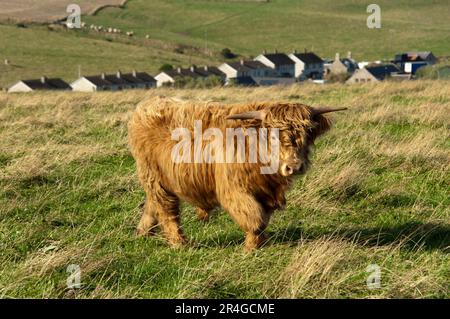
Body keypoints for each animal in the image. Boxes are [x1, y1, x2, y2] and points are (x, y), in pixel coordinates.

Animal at [128, 96, 346, 251]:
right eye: (272, 135)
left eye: (307, 132)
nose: (294, 166)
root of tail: (147, 105)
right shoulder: (234, 190)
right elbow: (254, 218)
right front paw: (251, 247)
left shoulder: (265, 192)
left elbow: (262, 218)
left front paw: (257, 243)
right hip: (154, 177)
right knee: (167, 210)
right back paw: (179, 243)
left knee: (152, 204)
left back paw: (143, 232)